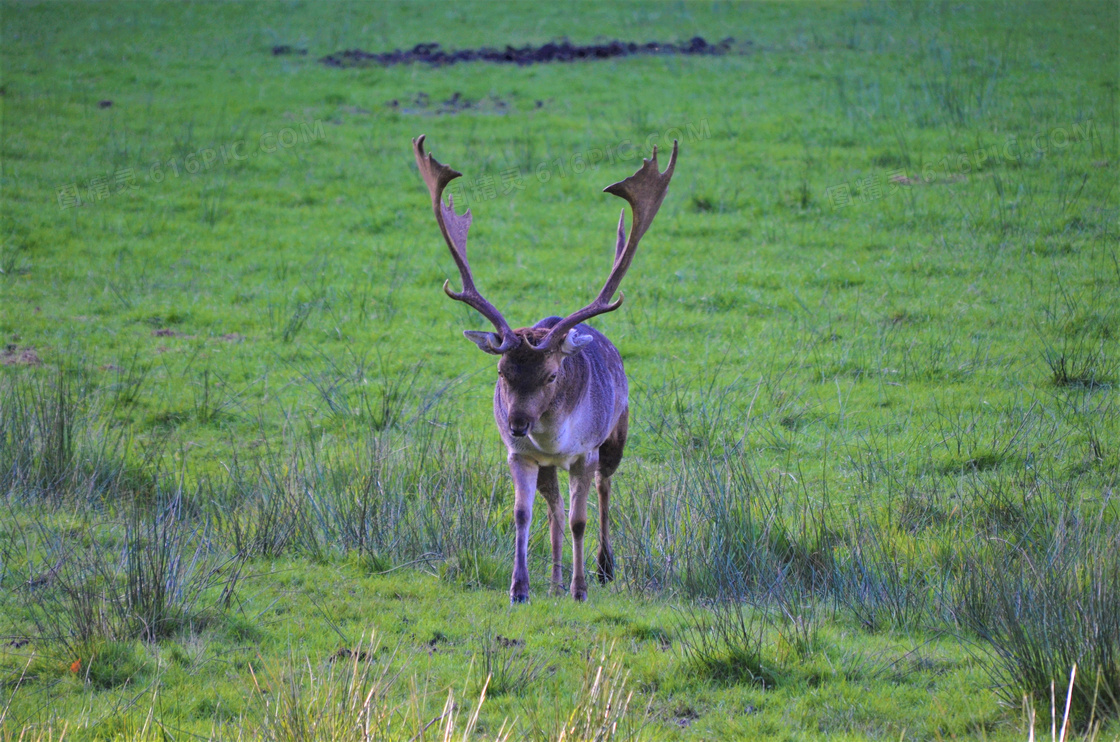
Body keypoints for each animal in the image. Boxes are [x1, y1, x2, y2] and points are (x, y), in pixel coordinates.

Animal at [412, 135, 672, 605]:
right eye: (501, 372)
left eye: (552, 375)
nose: (517, 423)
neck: (553, 438)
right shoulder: (519, 455)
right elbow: (523, 514)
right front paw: (520, 589)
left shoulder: (584, 452)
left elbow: (579, 520)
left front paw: (580, 589)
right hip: (550, 464)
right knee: (553, 507)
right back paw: (552, 579)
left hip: (617, 434)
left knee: (605, 489)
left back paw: (604, 569)